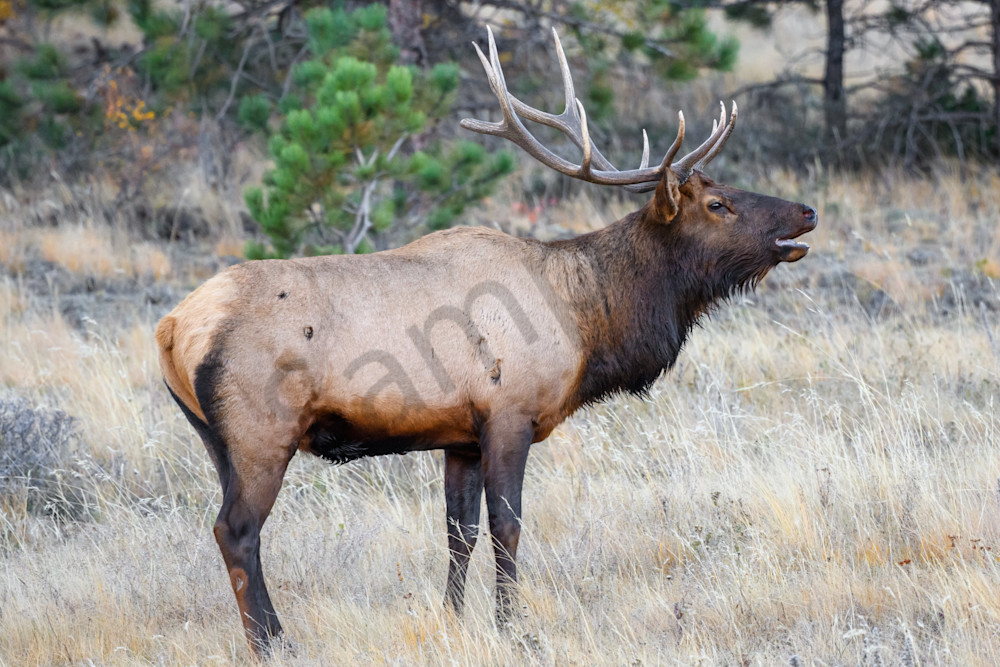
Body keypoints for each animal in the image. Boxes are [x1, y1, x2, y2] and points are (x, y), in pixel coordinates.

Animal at [155, 27, 816, 653]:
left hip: (215, 440)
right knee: (237, 530)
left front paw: (452, 618)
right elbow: (508, 525)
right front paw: (510, 626)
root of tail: (172, 327)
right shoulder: (509, 413)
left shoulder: (460, 436)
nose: (807, 211)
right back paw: (272, 642)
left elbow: (459, 531)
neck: (585, 320)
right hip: (261, 431)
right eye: (719, 203)